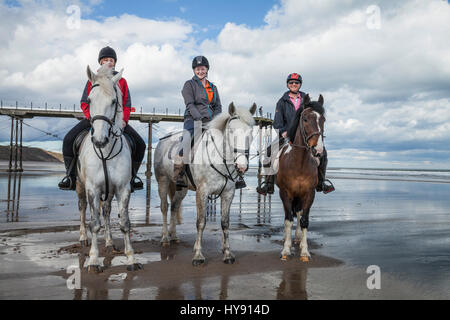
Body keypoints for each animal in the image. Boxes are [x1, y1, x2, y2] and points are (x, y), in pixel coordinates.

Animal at [75, 64, 142, 272]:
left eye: (114, 101)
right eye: (89, 100)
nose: (99, 140)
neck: (105, 151)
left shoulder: (122, 188)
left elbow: (124, 223)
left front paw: (131, 258)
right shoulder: (92, 189)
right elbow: (94, 224)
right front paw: (93, 260)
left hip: (109, 191)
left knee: (105, 211)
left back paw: (110, 242)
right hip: (80, 186)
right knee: (82, 209)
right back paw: (83, 238)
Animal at [155, 102, 255, 264]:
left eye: (250, 132)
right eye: (231, 131)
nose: (242, 166)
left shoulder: (228, 194)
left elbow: (225, 223)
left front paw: (227, 253)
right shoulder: (202, 192)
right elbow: (201, 222)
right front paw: (198, 255)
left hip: (181, 188)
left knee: (175, 207)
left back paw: (174, 236)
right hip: (162, 181)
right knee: (165, 207)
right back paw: (165, 238)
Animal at [276, 93, 326, 262]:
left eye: (323, 119)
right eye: (305, 118)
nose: (318, 150)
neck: (299, 162)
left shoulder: (309, 193)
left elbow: (304, 220)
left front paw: (304, 251)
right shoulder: (285, 193)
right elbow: (288, 220)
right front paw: (286, 250)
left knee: (297, 213)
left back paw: (297, 238)